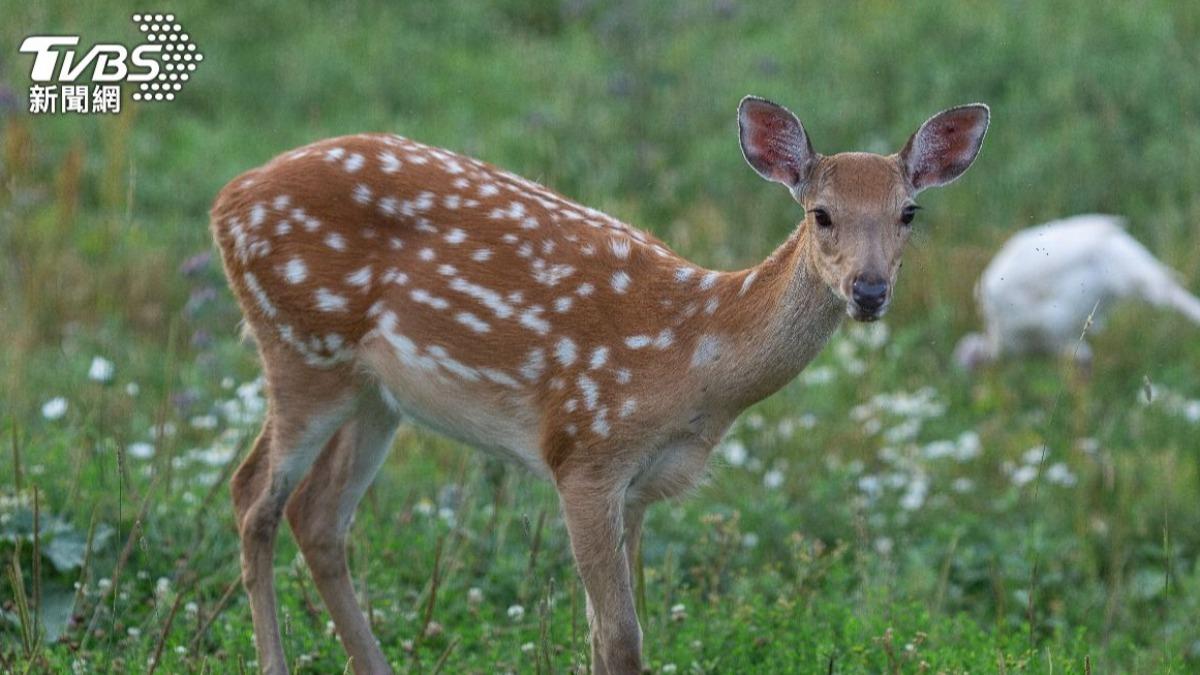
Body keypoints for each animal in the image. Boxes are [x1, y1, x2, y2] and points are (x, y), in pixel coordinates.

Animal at [210, 96, 989, 674]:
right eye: (820, 214)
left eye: (909, 212)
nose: (869, 291)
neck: (694, 359)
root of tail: (227, 198)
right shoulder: (582, 453)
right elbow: (621, 638)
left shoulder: (640, 485)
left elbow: (606, 631)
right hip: (300, 346)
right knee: (254, 496)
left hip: (375, 394)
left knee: (318, 515)